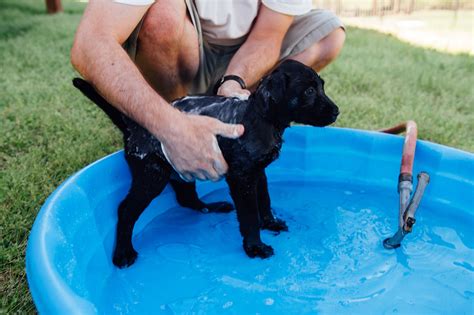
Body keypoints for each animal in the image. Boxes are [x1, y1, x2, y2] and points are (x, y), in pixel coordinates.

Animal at [72, 59, 338, 270]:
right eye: (309, 91)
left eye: (321, 87)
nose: (336, 112)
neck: (261, 118)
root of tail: (132, 126)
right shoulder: (241, 178)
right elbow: (249, 216)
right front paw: (255, 247)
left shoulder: (259, 173)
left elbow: (265, 200)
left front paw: (270, 222)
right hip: (152, 176)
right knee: (126, 210)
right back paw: (123, 253)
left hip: (181, 171)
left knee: (187, 200)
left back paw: (213, 206)